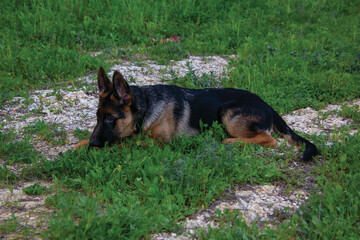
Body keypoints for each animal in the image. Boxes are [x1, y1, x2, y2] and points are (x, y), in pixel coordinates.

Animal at [75, 66, 318, 161]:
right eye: (98, 117)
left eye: (110, 118)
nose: (94, 142)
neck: (146, 106)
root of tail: (267, 105)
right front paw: (80, 144)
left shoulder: (159, 143)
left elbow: (121, 143)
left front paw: (94, 148)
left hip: (227, 112)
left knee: (269, 139)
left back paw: (231, 142)